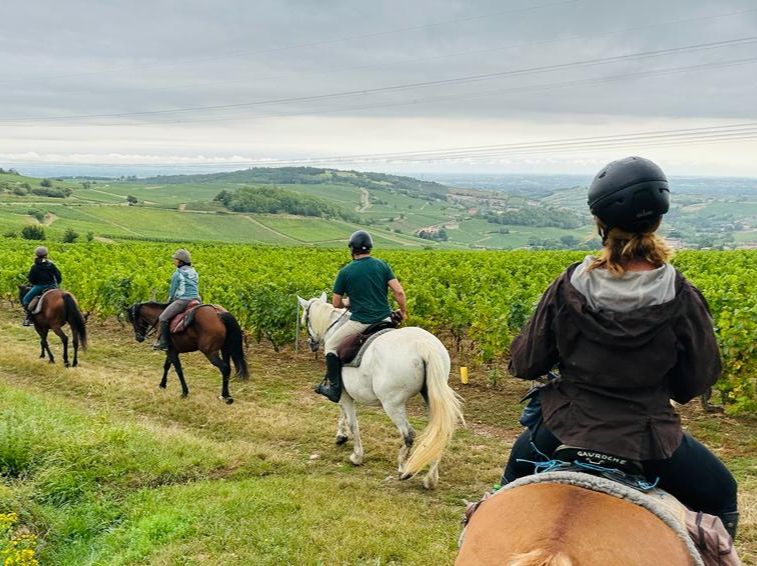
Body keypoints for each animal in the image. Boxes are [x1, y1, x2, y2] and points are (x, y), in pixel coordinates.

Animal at [298, 296, 464, 490]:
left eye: (305, 319)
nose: (311, 343)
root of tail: (423, 346)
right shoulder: (346, 395)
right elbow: (344, 415)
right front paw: (341, 436)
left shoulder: (344, 394)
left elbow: (352, 422)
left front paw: (356, 455)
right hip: (431, 398)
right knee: (439, 432)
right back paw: (429, 479)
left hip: (392, 404)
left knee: (408, 434)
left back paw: (404, 469)